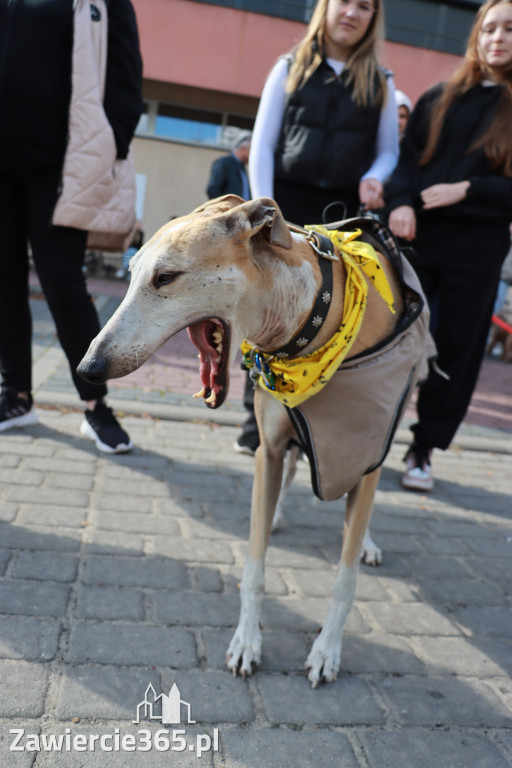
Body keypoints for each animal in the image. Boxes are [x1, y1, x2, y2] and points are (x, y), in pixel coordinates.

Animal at [77, 195, 428, 688]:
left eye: (165, 277)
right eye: (130, 274)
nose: (88, 368)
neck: (312, 320)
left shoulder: (360, 445)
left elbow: (345, 579)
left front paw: (327, 650)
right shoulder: (270, 447)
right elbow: (255, 568)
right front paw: (246, 641)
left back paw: (367, 543)